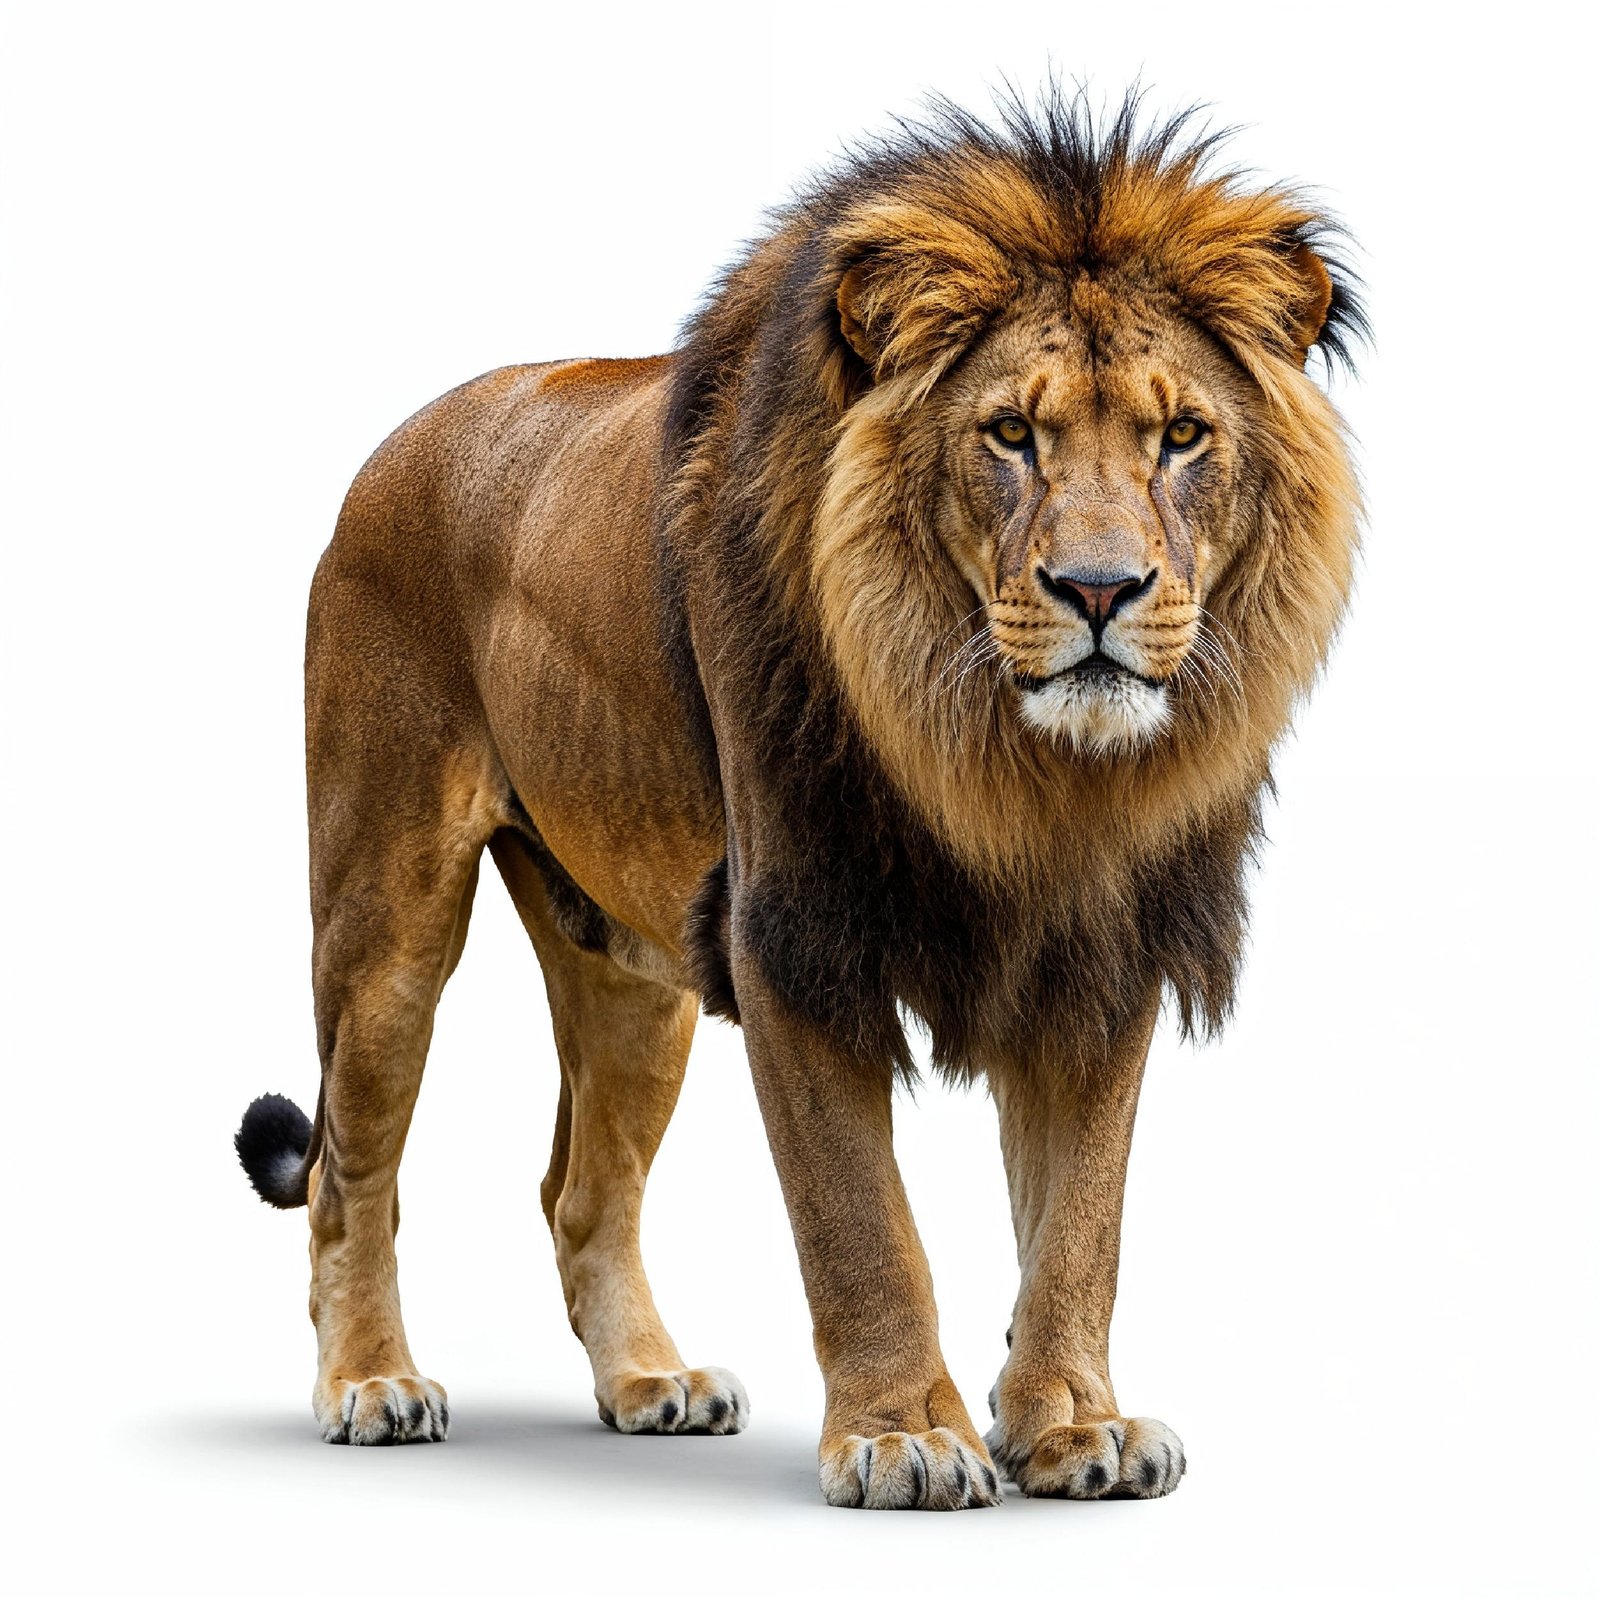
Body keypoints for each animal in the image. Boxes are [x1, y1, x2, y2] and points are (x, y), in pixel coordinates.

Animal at [235, 89, 1363, 1510]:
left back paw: (648, 1382)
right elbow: (858, 1218)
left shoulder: (1105, 946)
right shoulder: (795, 931)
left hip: (634, 973)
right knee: (350, 1170)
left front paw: (1072, 1425)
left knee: (580, 1189)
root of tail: (398, 443)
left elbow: (1080, 1220)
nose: (1099, 589)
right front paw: (902, 1435)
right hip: (385, 914)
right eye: (1010, 434)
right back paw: (372, 1383)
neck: (1020, 773)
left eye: (1181, 437)